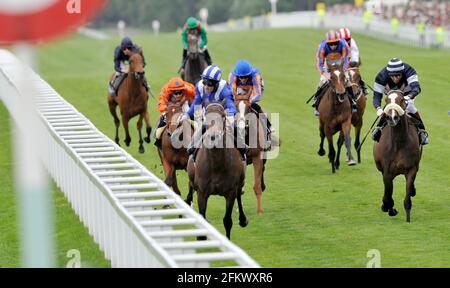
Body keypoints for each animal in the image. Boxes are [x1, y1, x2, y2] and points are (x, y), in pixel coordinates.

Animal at [187, 102, 250, 240]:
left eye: (223, 117)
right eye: (205, 117)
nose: (213, 136)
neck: (216, 165)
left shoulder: (230, 192)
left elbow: (227, 220)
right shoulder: (202, 192)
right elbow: (202, 219)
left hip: (241, 180)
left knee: (239, 194)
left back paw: (243, 219)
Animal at [372, 90, 422, 223]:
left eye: (402, 100)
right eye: (386, 100)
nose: (391, 117)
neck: (399, 142)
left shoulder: (411, 169)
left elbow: (407, 197)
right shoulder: (387, 172)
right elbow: (388, 195)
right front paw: (389, 208)